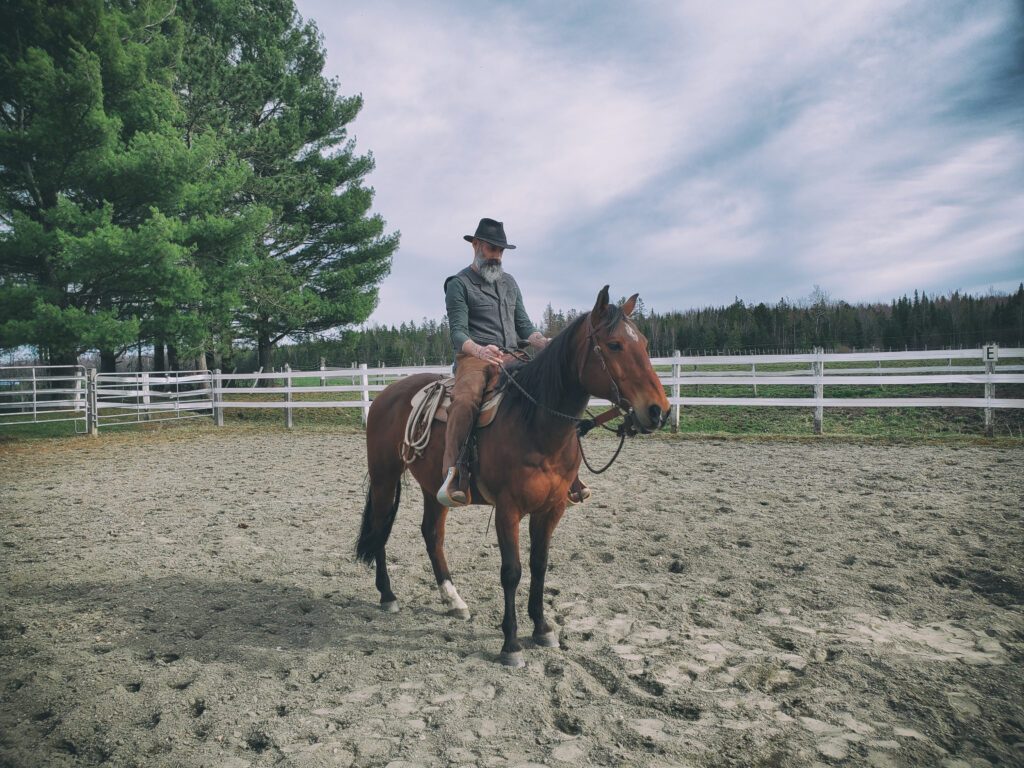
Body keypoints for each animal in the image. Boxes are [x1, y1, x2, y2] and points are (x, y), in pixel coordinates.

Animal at [356, 286, 667, 667]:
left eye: (646, 344)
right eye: (614, 345)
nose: (658, 410)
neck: (534, 421)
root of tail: (385, 394)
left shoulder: (552, 508)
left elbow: (539, 564)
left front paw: (542, 628)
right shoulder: (508, 509)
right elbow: (512, 571)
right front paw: (511, 644)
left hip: (434, 488)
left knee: (432, 534)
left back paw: (453, 600)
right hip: (384, 477)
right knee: (380, 531)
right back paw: (388, 595)